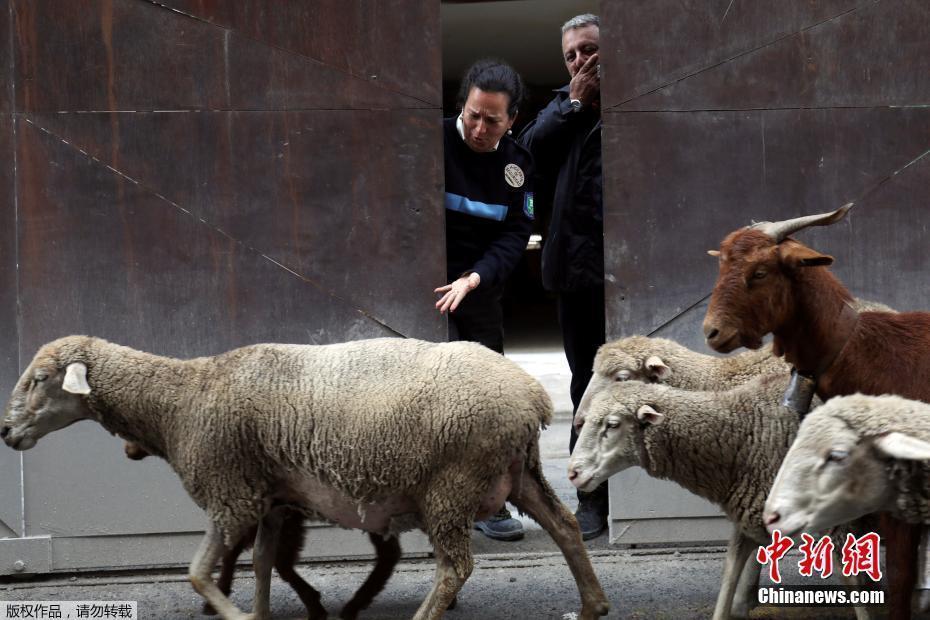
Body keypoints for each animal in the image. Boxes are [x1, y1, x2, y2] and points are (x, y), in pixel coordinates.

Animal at [123, 444, 398, 616]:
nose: (127, 450)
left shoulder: (280, 512)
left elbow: (274, 560)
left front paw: (314, 604)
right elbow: (246, 553)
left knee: (388, 553)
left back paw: (355, 604)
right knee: (389, 553)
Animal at [564, 372, 872, 620]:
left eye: (613, 424)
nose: (573, 473)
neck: (746, 435)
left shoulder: (833, 522)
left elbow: (849, 579)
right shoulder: (748, 516)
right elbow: (729, 577)